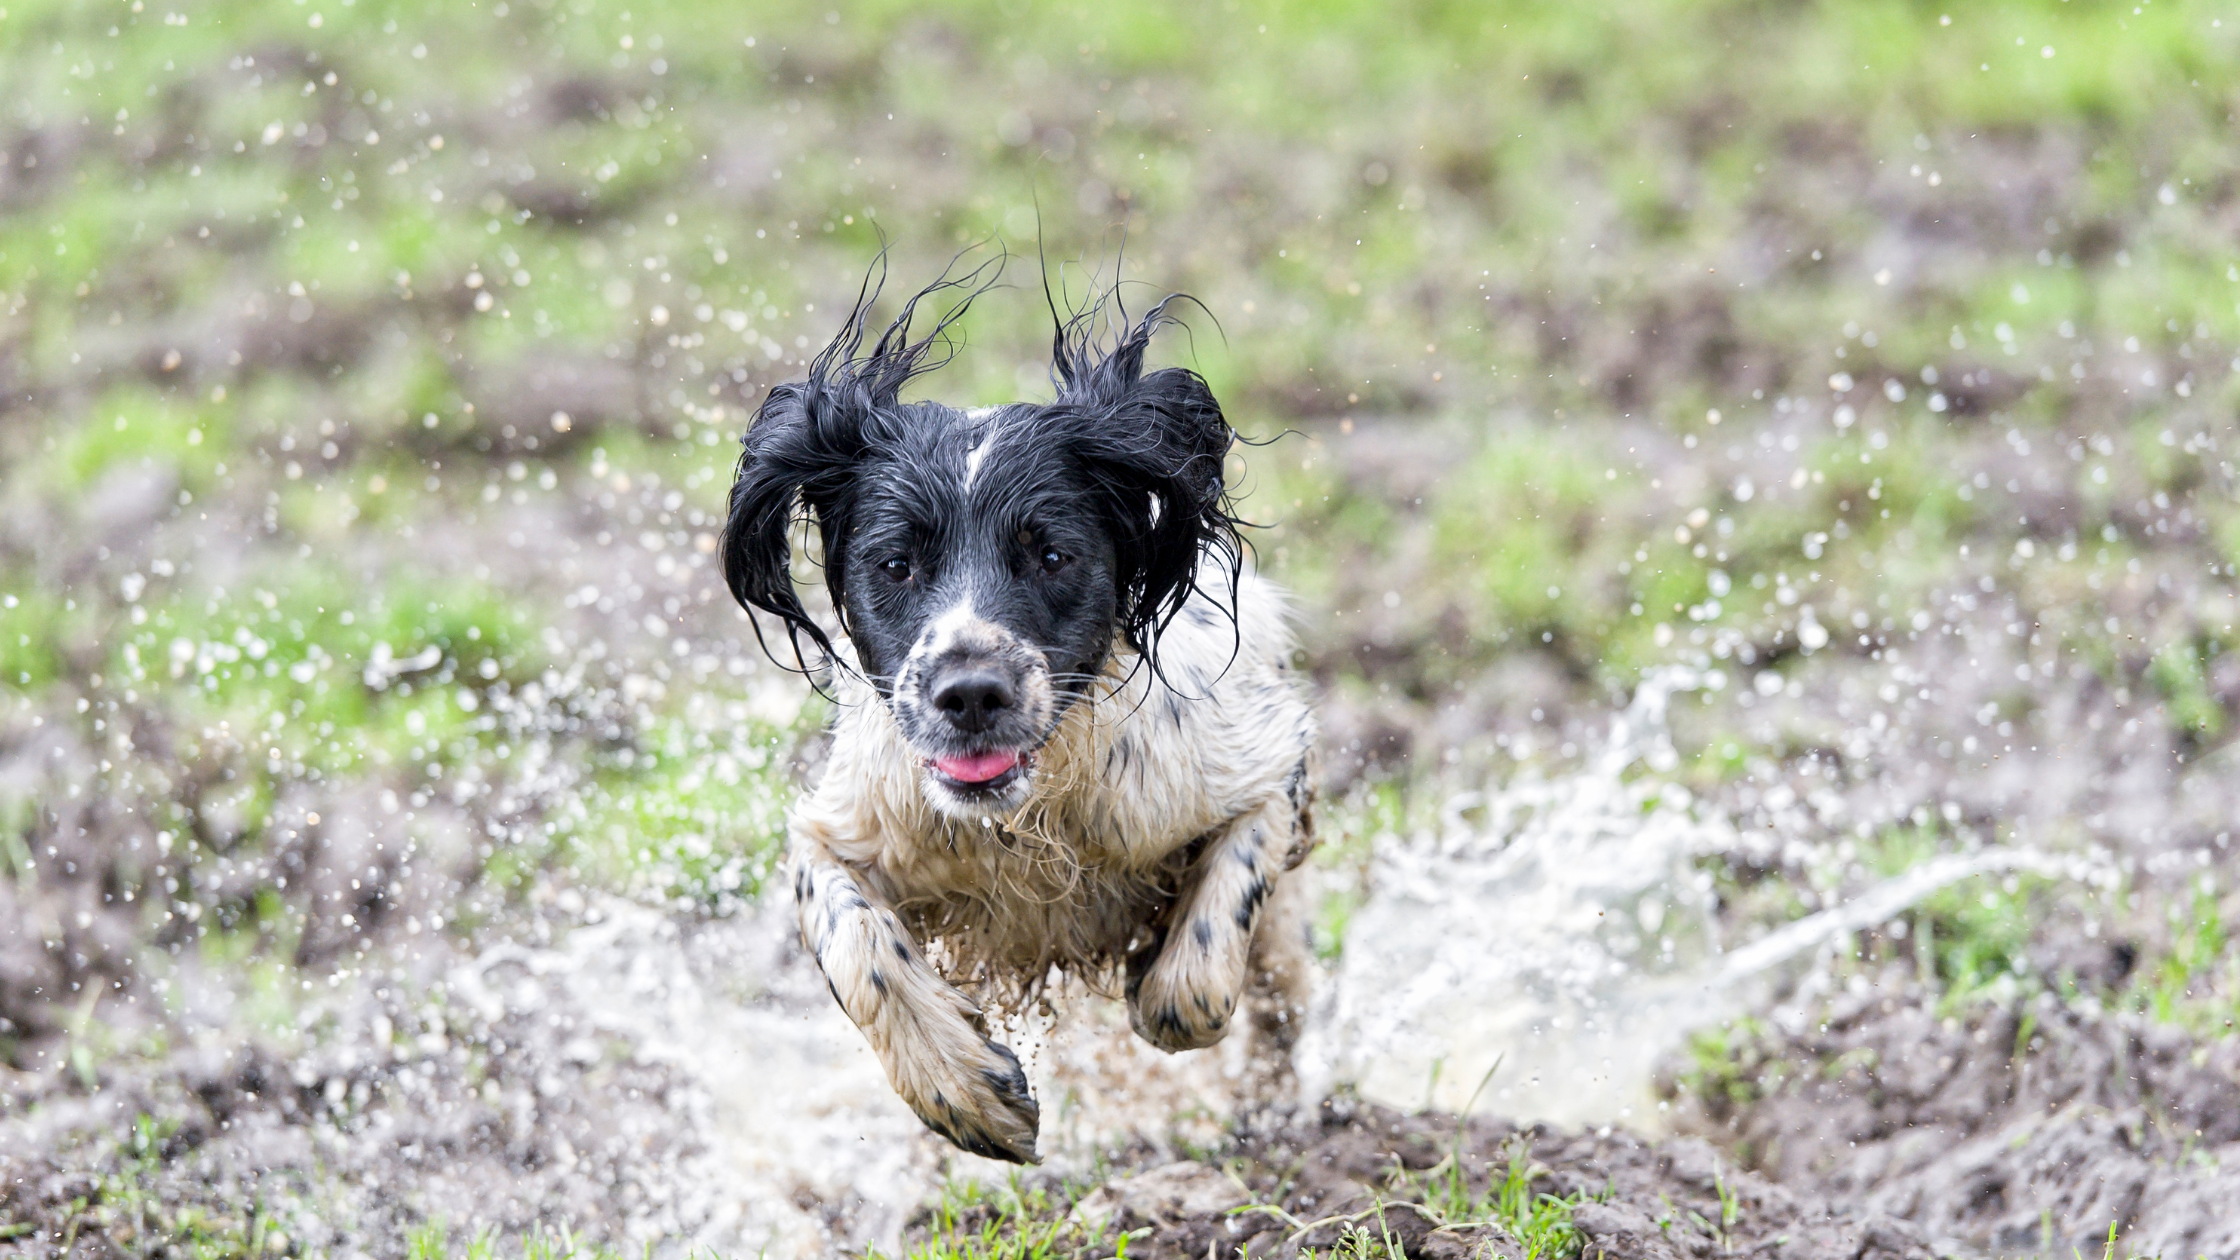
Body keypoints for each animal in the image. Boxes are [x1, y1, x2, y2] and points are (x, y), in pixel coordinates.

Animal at [716, 262, 1308, 1156]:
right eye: (895, 564)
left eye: (1053, 555)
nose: (970, 693)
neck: (1027, 821)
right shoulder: (843, 828)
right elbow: (857, 946)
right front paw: (965, 1092)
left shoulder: (1267, 770)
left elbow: (1196, 980)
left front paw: (1156, 974)